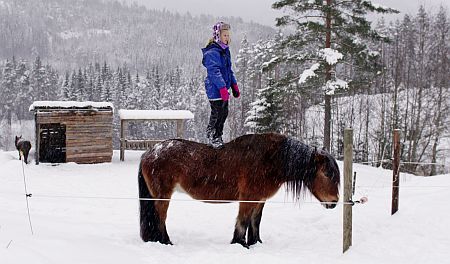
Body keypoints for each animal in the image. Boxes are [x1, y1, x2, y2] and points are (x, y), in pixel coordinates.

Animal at [139, 133, 340, 249]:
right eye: (327, 173)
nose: (334, 202)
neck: (270, 159)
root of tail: (150, 152)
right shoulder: (248, 198)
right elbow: (243, 221)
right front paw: (241, 244)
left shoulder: (260, 199)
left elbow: (255, 222)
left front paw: (255, 243)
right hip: (163, 195)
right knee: (160, 218)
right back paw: (166, 243)